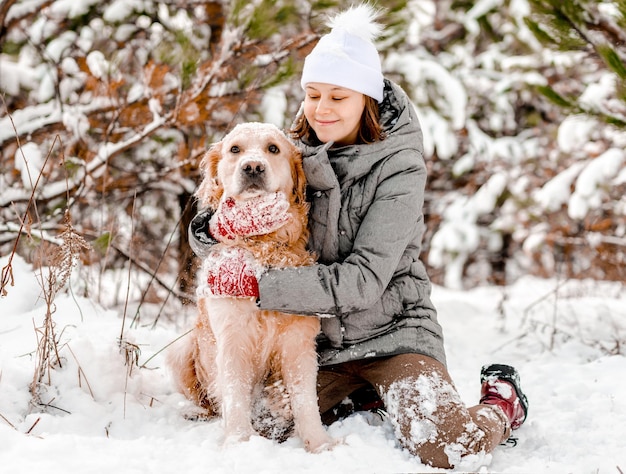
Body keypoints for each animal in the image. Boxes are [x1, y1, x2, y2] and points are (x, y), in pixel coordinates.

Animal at [166, 121, 332, 452]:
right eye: (235, 149)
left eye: (273, 149)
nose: (253, 167)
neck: (262, 245)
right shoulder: (233, 337)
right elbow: (235, 393)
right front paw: (240, 441)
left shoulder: (298, 341)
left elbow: (306, 401)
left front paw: (319, 445)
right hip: (181, 349)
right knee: (208, 403)